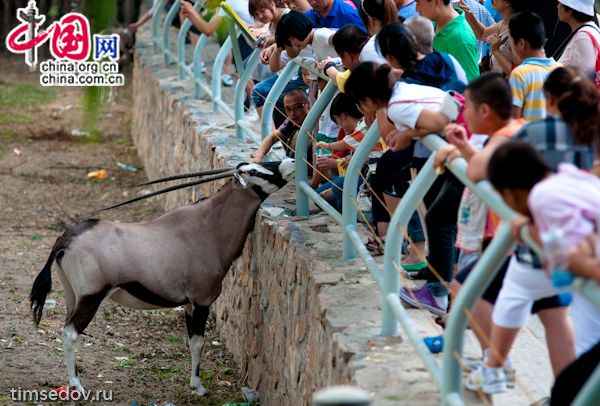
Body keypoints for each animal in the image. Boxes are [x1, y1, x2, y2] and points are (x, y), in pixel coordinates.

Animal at [29, 159, 296, 396]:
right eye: (254, 171)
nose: (290, 161)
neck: (209, 227)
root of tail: (67, 238)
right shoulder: (202, 301)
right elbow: (199, 342)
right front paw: (198, 387)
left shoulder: (189, 305)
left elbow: (191, 340)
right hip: (91, 298)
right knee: (70, 333)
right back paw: (77, 385)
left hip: (72, 295)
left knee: (65, 328)